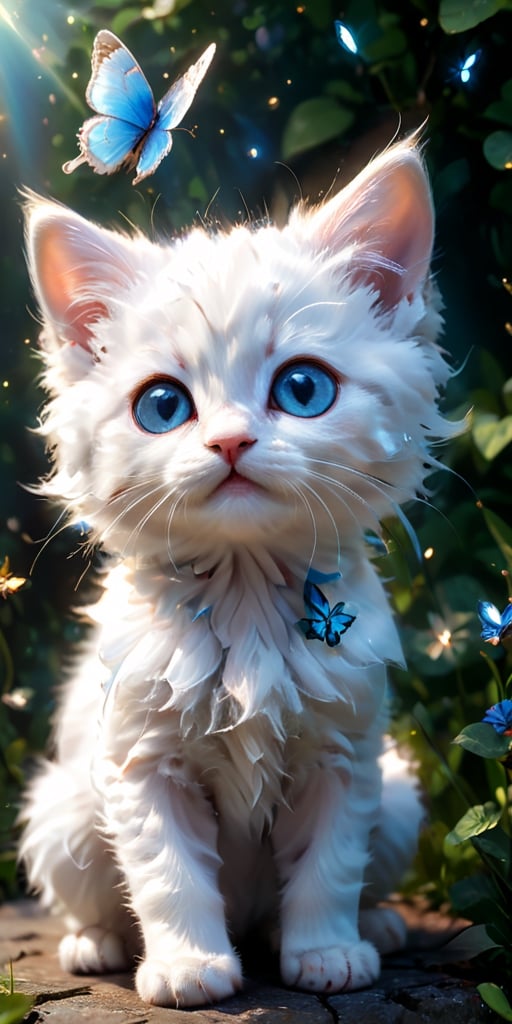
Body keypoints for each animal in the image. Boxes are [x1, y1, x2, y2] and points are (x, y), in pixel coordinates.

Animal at [19, 140, 454, 1011]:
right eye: (162, 406)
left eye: (302, 388)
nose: (229, 442)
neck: (245, 596)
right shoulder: (140, 766)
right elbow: (169, 877)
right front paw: (189, 966)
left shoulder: (345, 760)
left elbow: (328, 870)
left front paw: (326, 952)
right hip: (65, 815)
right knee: (92, 895)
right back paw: (95, 944)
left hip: (397, 799)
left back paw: (374, 928)